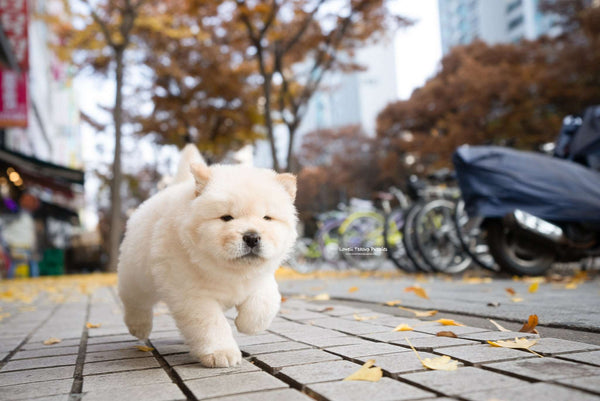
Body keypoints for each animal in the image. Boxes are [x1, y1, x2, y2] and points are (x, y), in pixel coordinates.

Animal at [116, 144, 296, 366]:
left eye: (267, 218)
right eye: (226, 218)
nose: (252, 237)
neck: (230, 271)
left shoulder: (261, 279)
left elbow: (264, 303)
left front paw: (246, 324)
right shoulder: (193, 294)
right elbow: (211, 324)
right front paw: (221, 353)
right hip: (137, 276)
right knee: (135, 302)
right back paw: (139, 327)